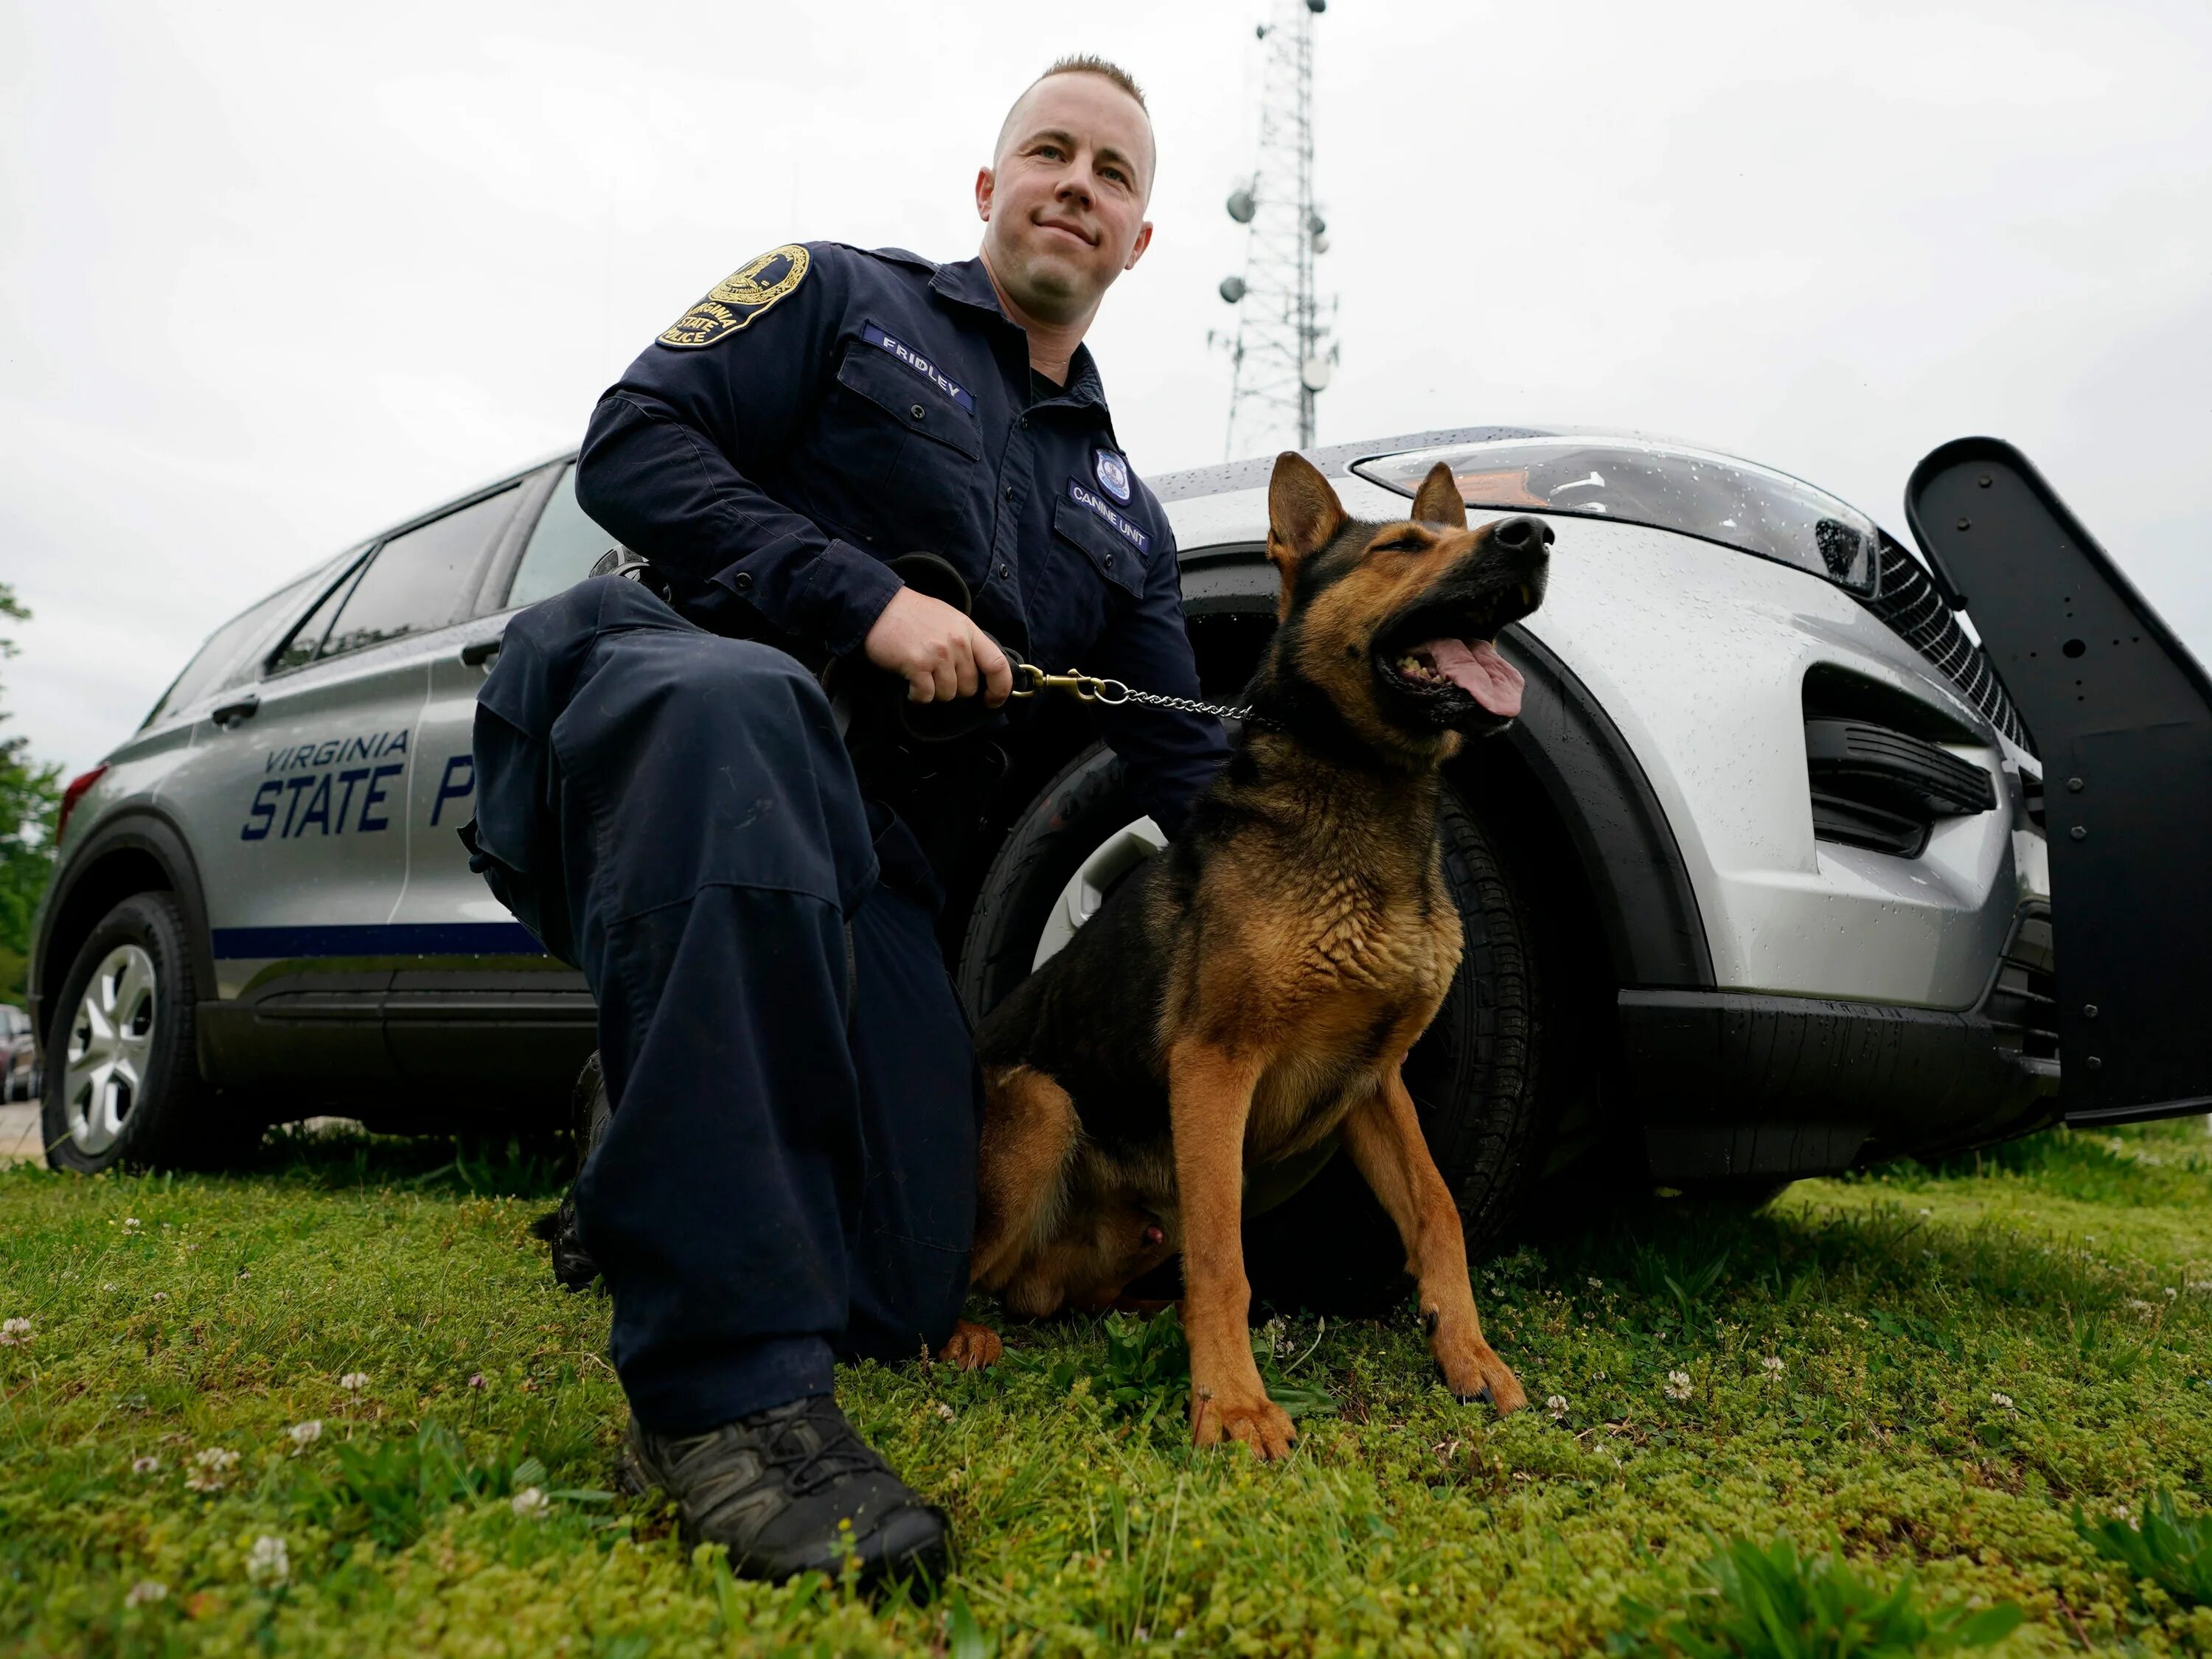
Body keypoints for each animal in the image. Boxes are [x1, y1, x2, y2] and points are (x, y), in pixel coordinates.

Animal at [942, 451, 1548, 1451]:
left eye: (1447, 534)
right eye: (1400, 549)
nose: (1534, 536)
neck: (1367, 795)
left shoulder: (1372, 1082)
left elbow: (1438, 1211)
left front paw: (1468, 1352)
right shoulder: (1215, 1064)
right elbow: (1226, 1249)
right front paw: (1230, 1403)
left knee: (1071, 1294)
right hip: (1041, 1107)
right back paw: (959, 1332)